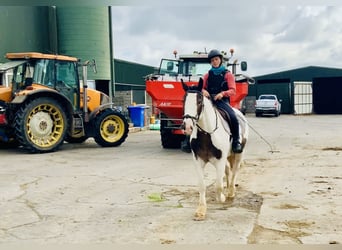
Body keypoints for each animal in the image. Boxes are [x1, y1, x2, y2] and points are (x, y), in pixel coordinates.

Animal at [182, 78, 248, 221]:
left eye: (199, 101)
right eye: (183, 100)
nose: (187, 127)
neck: (207, 134)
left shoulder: (220, 161)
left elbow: (218, 185)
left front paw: (221, 197)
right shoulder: (198, 161)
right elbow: (202, 185)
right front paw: (201, 211)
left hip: (238, 155)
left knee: (234, 171)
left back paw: (231, 192)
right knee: (228, 171)